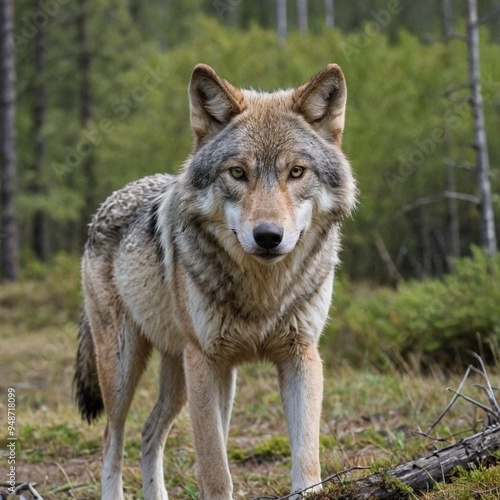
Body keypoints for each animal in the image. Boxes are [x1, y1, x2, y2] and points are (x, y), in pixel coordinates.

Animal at [74, 63, 356, 500]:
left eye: (296, 172)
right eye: (237, 172)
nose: (268, 236)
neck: (263, 291)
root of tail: (109, 201)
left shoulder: (301, 356)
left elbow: (307, 460)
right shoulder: (206, 362)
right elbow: (215, 470)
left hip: (182, 375)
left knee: (149, 432)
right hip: (124, 370)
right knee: (111, 438)